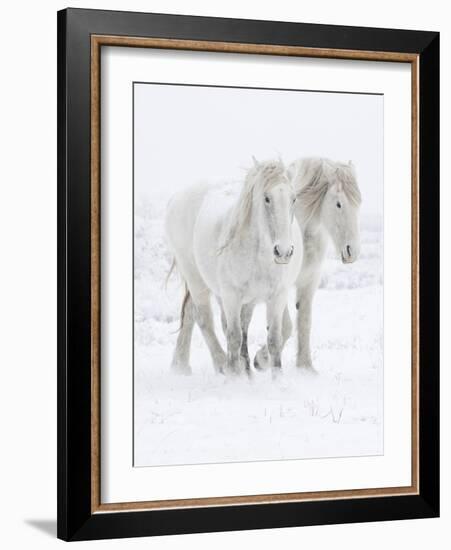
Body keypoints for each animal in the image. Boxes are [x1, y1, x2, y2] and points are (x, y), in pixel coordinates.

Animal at [166, 158, 304, 376]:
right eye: (266, 198)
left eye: (293, 198)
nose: (283, 252)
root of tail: (176, 198)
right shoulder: (231, 295)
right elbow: (234, 336)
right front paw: (234, 377)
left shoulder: (277, 295)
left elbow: (274, 338)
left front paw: (275, 377)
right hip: (196, 279)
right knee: (203, 318)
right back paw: (221, 364)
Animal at [254, 160, 364, 376]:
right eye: (338, 204)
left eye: (358, 204)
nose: (352, 251)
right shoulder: (281, 286)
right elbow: (286, 326)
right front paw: (261, 361)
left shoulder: (309, 282)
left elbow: (304, 320)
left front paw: (306, 367)